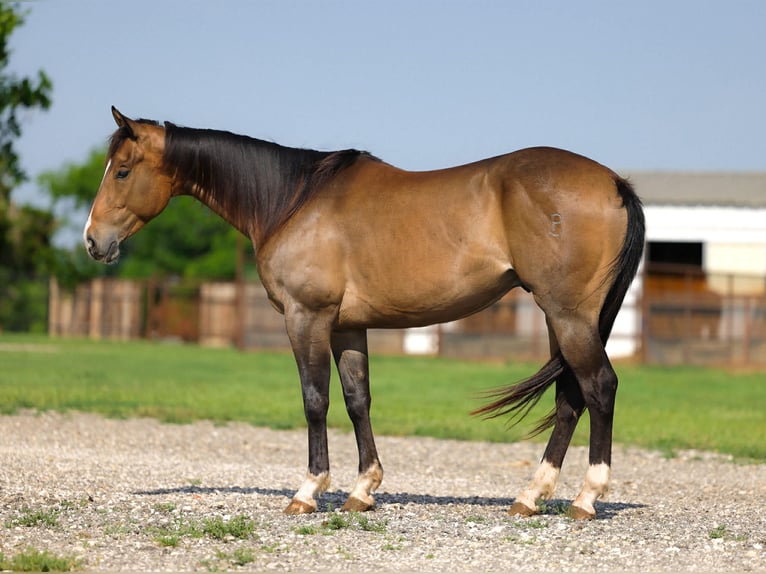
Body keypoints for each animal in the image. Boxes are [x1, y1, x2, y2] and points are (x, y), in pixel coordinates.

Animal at [84, 107, 645, 520]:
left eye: (123, 171)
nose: (93, 241)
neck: (293, 200)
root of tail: (614, 182)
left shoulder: (306, 317)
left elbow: (315, 400)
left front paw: (309, 490)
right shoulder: (348, 327)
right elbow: (358, 401)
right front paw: (363, 489)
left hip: (568, 316)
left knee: (599, 387)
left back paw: (585, 498)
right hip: (561, 318)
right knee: (570, 397)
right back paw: (530, 496)